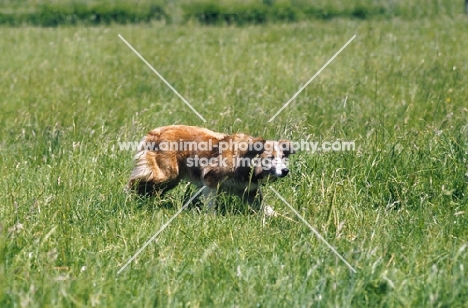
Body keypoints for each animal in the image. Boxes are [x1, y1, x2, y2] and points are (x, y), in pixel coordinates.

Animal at [126, 125, 294, 214]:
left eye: (283, 158)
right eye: (270, 158)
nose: (286, 171)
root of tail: (156, 131)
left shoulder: (250, 191)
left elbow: (267, 209)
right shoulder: (211, 180)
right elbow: (211, 204)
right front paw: (211, 219)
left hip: (170, 180)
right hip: (166, 174)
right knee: (135, 182)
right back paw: (128, 199)